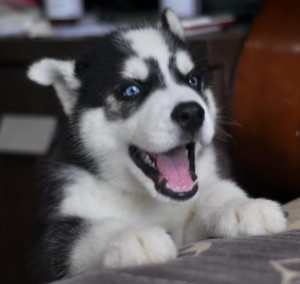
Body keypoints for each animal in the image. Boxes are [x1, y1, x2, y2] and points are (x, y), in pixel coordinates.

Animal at [27, 9, 286, 282]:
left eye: (193, 80)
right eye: (131, 90)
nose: (192, 113)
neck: (147, 197)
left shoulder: (188, 225)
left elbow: (214, 191)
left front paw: (239, 205)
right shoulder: (50, 246)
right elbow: (83, 233)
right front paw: (131, 236)